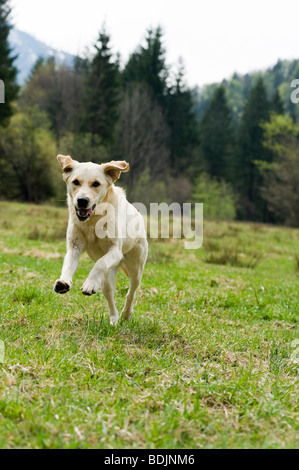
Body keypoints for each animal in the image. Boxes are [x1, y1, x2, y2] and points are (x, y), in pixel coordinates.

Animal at [54, 156, 148, 324]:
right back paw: (114, 320)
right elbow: (68, 264)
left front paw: (89, 284)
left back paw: (126, 314)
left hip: (136, 267)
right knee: (109, 295)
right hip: (107, 278)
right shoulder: (74, 247)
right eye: (75, 182)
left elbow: (100, 263)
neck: (93, 220)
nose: (82, 200)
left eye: (96, 184)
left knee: (131, 292)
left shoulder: (115, 250)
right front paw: (63, 282)